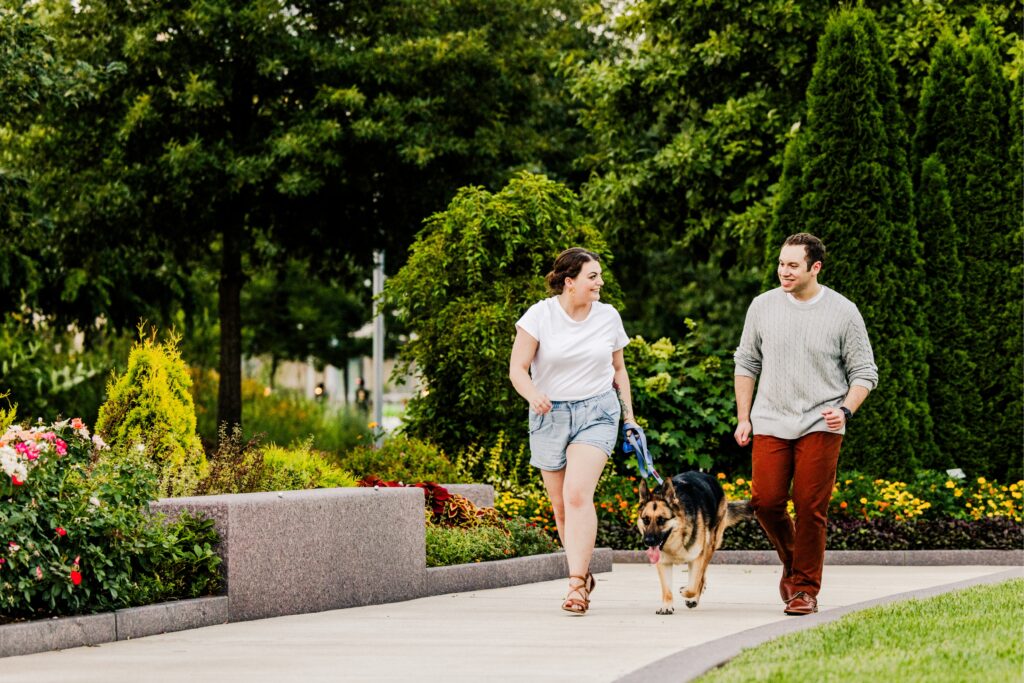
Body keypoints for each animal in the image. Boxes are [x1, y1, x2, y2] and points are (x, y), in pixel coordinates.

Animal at [638, 475, 753, 614]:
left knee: (701, 578)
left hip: (709, 548)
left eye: (662, 520)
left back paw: (694, 598)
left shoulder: (697, 559)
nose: (648, 541)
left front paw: (685, 591)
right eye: (646, 520)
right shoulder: (663, 563)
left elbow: (693, 586)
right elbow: (667, 589)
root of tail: (709, 477)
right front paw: (667, 606)